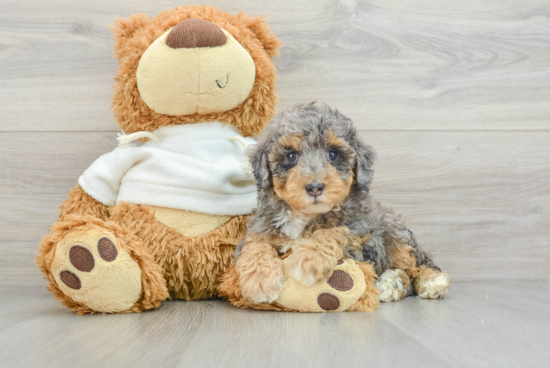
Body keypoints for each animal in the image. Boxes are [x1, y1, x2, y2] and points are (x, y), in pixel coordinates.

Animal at [235, 102, 450, 304]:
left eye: (333, 154)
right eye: (291, 156)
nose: (315, 187)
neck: (305, 215)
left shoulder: (361, 236)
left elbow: (333, 231)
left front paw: (309, 258)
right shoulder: (260, 228)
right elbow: (255, 245)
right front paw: (259, 280)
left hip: (396, 236)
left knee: (417, 264)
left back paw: (430, 281)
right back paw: (391, 284)